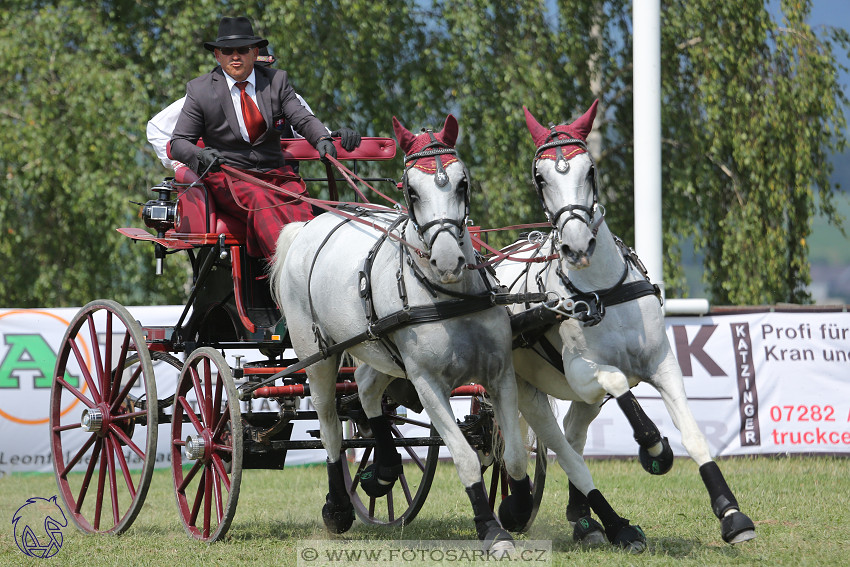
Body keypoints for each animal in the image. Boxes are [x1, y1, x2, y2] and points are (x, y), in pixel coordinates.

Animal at [272, 116, 528, 556]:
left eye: (463, 183)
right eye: (411, 190)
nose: (448, 260)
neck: (448, 297)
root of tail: (309, 224)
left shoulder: (500, 375)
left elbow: (511, 452)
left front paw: (517, 505)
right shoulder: (427, 383)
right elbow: (465, 456)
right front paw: (491, 530)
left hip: (376, 346)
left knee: (366, 390)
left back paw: (385, 469)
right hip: (316, 351)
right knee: (328, 421)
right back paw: (338, 507)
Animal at [496, 101, 756, 544]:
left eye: (590, 170)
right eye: (540, 177)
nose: (577, 246)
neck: (601, 290)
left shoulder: (662, 362)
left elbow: (693, 434)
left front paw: (732, 513)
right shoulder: (584, 372)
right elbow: (619, 382)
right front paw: (655, 450)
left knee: (573, 434)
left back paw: (584, 520)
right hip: (527, 391)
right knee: (560, 450)